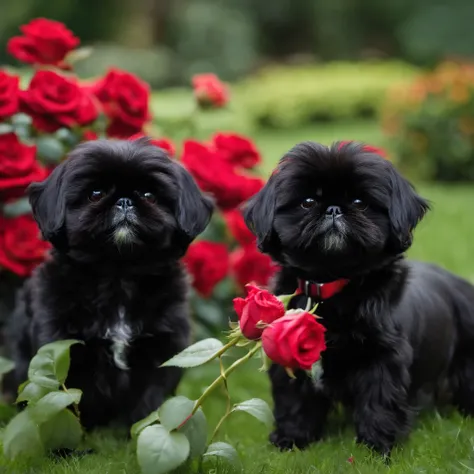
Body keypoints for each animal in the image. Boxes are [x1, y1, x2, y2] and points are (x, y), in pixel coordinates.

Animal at [5, 138, 213, 430]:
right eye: (95, 193)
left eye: (149, 195)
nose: (124, 201)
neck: (118, 274)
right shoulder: (58, 348)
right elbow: (62, 403)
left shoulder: (163, 350)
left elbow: (150, 400)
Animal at [243, 141, 474, 456]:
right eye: (307, 202)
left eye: (359, 202)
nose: (333, 209)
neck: (333, 285)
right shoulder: (288, 352)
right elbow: (294, 399)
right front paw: (292, 439)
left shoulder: (383, 358)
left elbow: (379, 400)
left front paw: (377, 448)